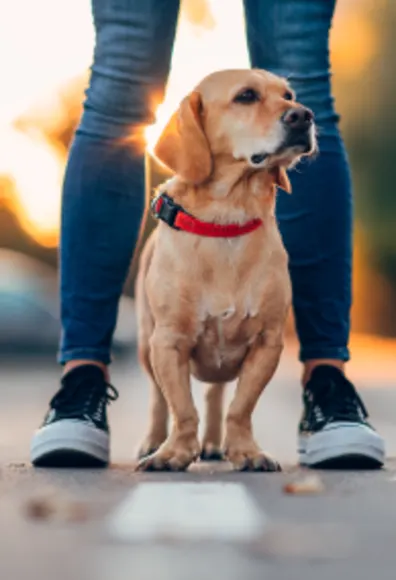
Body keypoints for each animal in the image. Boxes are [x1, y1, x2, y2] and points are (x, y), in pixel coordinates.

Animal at [135, 70, 316, 474]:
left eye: (288, 94)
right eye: (246, 96)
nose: (303, 116)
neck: (227, 221)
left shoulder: (267, 342)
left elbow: (240, 407)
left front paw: (245, 452)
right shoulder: (168, 342)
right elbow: (181, 408)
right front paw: (173, 453)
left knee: (215, 394)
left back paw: (215, 444)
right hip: (145, 344)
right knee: (157, 399)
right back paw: (153, 441)